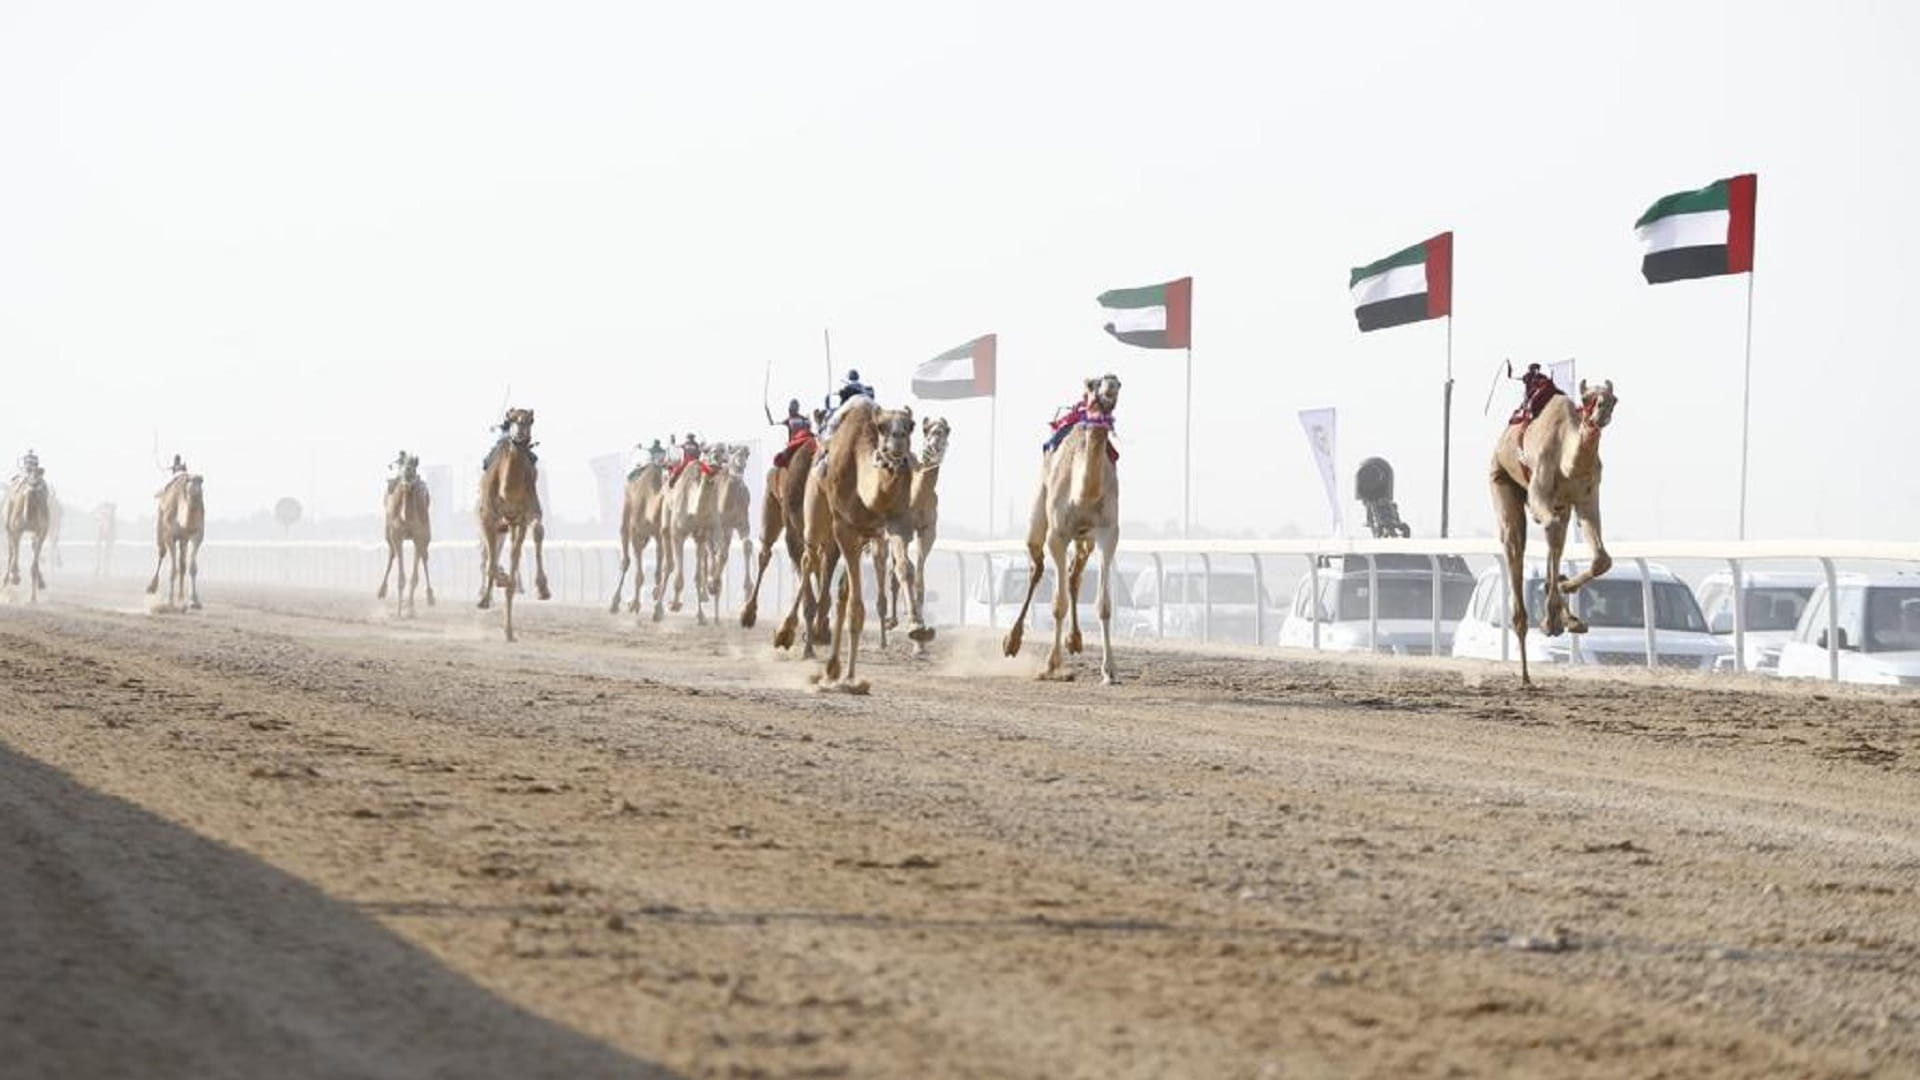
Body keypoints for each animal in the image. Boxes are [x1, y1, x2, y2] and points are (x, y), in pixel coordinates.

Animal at [374, 451, 435, 614]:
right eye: (401, 462)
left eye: (414, 463)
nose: (407, 471)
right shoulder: (397, 535)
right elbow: (401, 577)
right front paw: (399, 611)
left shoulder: (420, 536)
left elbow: (415, 577)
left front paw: (410, 610)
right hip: (388, 534)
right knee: (392, 554)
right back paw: (382, 591)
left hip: (425, 537)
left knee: (424, 557)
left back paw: (427, 597)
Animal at [478, 403, 552, 638]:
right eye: (511, 418)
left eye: (531, 420)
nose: (520, 437)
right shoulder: (487, 517)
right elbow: (491, 561)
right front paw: (488, 595)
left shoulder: (524, 516)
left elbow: (534, 533)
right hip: (498, 524)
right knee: (490, 555)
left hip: (516, 522)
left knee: (527, 540)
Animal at [771, 397, 921, 687]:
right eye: (882, 426)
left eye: (911, 425)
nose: (897, 441)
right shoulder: (844, 528)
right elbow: (855, 606)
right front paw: (850, 676)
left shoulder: (893, 524)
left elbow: (904, 569)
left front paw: (919, 627)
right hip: (815, 512)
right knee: (808, 559)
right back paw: (787, 633)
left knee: (833, 581)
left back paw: (828, 656)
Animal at [1006, 374, 1121, 680]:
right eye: (1093, 384)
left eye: (1119, 385)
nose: (1111, 383)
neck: (1082, 494)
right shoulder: (1057, 535)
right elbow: (1058, 604)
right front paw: (1050, 665)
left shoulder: (1108, 533)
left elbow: (1104, 605)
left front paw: (1109, 670)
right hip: (1039, 514)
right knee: (1036, 567)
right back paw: (1011, 641)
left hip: (1085, 539)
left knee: (1074, 574)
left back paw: (1075, 640)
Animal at [1482, 378, 1620, 680]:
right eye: (1587, 398)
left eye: (1614, 399)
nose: (1602, 411)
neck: (1567, 462)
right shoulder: (1539, 492)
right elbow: (1551, 531)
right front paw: (1551, 618)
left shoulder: (1585, 498)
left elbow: (1602, 559)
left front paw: (1565, 590)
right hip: (1499, 476)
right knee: (1516, 543)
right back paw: (1525, 671)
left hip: (1562, 505)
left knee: (1556, 538)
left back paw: (1568, 616)